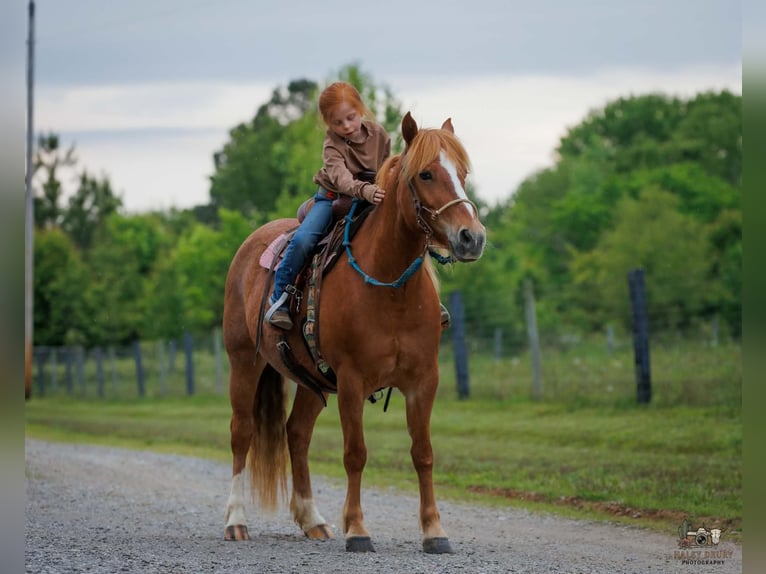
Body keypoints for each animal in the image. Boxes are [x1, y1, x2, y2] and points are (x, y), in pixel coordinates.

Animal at [222, 111, 486, 554]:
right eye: (426, 174)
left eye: (463, 173)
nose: (472, 237)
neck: (389, 287)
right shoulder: (351, 381)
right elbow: (355, 454)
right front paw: (358, 530)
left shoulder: (423, 381)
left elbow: (423, 453)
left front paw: (434, 531)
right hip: (245, 362)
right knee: (242, 433)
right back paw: (236, 521)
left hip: (311, 380)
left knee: (297, 434)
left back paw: (313, 520)